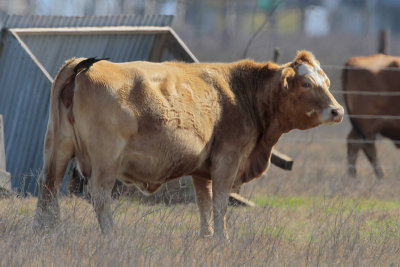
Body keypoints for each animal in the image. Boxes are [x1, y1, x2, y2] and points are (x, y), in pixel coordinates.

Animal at [33, 51, 344, 240]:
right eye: (306, 83)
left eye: (327, 82)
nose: (337, 110)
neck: (241, 92)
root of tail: (79, 65)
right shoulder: (227, 160)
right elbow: (220, 203)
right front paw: (222, 239)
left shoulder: (201, 169)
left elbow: (204, 203)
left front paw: (206, 237)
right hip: (106, 160)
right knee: (99, 195)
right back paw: (111, 235)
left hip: (57, 148)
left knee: (48, 187)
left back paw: (47, 231)